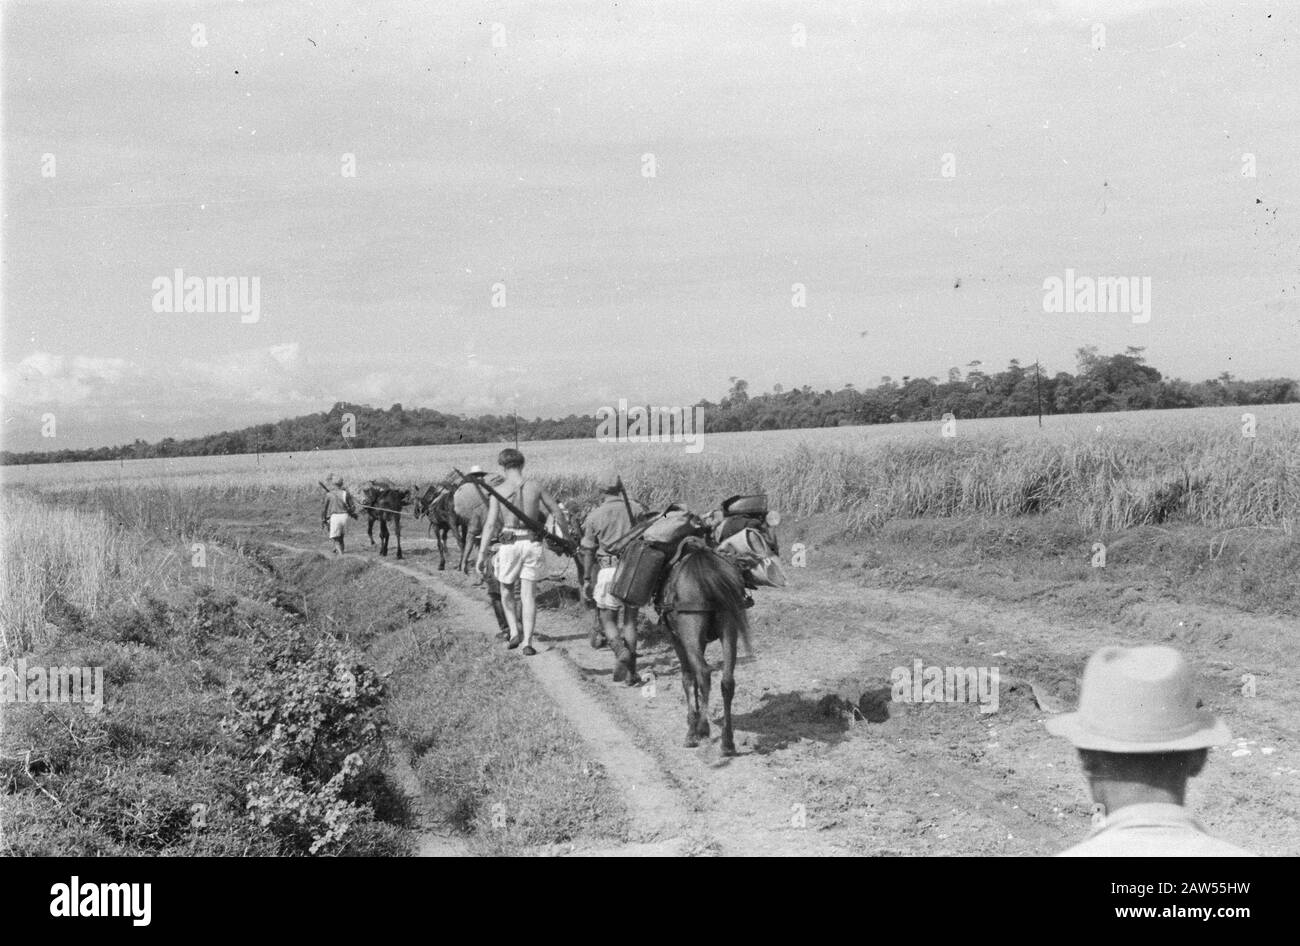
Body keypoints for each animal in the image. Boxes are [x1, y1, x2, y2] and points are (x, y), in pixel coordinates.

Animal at [660, 543, 754, 758]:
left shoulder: (677, 638)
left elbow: (688, 677)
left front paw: (692, 726)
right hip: (729, 627)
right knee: (727, 681)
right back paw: (727, 742)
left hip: (690, 629)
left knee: (703, 672)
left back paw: (700, 730)